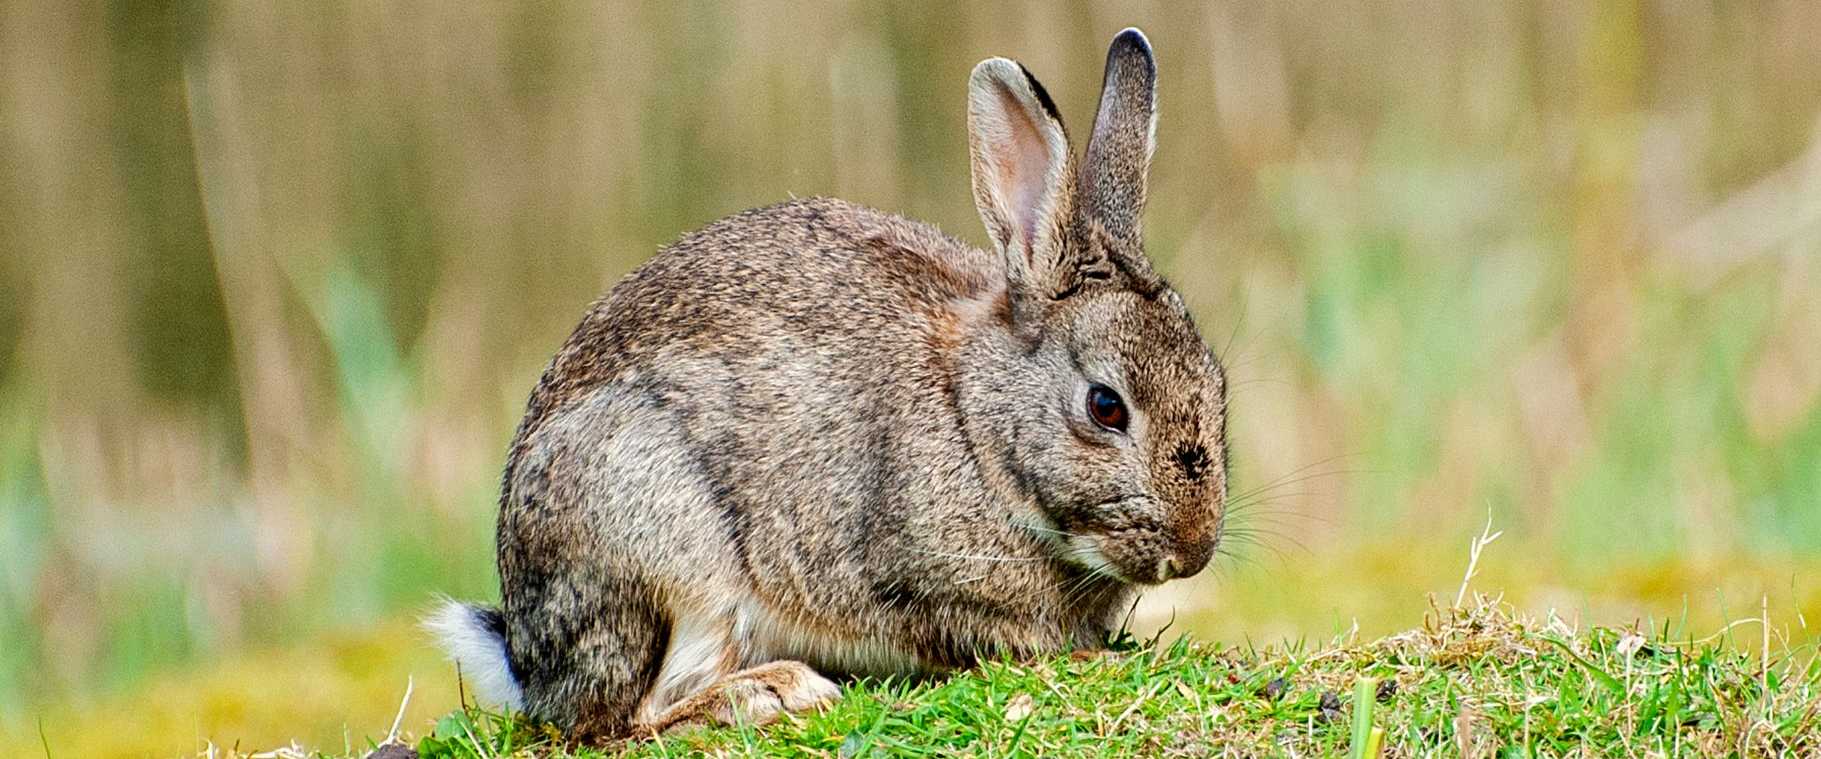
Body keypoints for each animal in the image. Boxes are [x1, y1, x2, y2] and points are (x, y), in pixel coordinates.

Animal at [427, 27, 1229, 742]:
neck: (975, 421)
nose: (1191, 552)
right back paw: (775, 691)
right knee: (627, 715)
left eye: (1217, 388)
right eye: (1106, 406)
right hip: (656, 538)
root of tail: (527, 661)